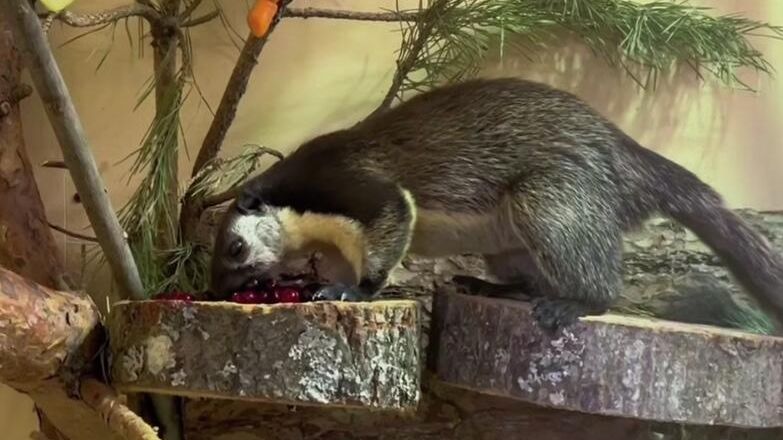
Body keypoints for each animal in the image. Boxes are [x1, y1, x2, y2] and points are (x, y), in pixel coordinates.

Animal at [209, 77, 783, 332]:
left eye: (233, 248)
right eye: (219, 256)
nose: (218, 289)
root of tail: (625, 151)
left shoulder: (359, 188)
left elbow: (386, 234)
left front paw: (350, 291)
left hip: (550, 200)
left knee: (601, 286)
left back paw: (568, 304)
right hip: (508, 245)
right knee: (525, 279)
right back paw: (485, 286)